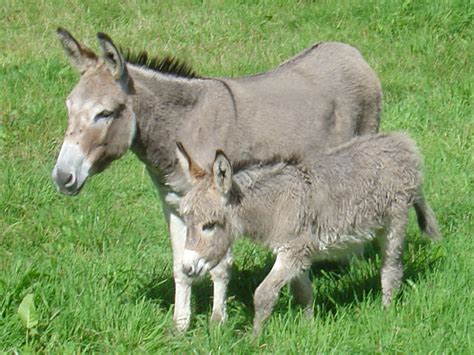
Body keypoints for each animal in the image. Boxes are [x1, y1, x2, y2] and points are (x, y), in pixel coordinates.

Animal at [177, 134, 440, 336]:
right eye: (186, 222)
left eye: (210, 225)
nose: (187, 268)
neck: (275, 207)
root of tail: (402, 143)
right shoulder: (297, 253)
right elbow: (303, 293)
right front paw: (308, 328)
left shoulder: (292, 251)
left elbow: (263, 295)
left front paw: (254, 339)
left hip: (395, 223)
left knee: (391, 271)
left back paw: (386, 313)